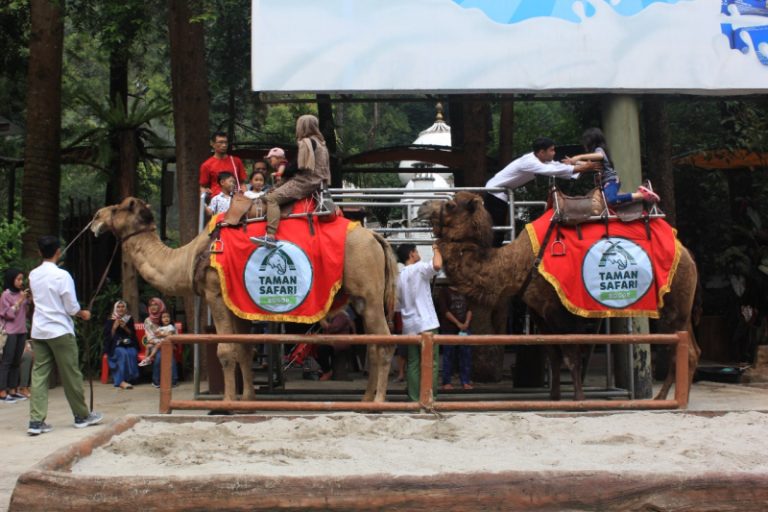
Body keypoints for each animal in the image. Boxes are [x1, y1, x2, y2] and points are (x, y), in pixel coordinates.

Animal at [93, 198, 400, 402]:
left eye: (120, 207)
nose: (96, 218)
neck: (192, 255)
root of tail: (376, 237)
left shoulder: (216, 293)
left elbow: (226, 350)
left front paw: (227, 403)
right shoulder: (236, 302)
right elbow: (243, 349)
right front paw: (247, 399)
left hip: (370, 294)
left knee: (386, 344)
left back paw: (379, 401)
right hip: (361, 299)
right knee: (374, 344)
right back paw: (366, 400)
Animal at [420, 191, 704, 400]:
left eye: (450, 204)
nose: (423, 205)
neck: (518, 264)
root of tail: (688, 253)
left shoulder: (561, 310)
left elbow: (571, 355)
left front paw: (577, 399)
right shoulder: (540, 312)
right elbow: (554, 356)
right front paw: (554, 397)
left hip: (674, 304)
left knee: (683, 349)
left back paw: (674, 400)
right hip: (683, 305)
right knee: (690, 348)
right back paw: (667, 397)